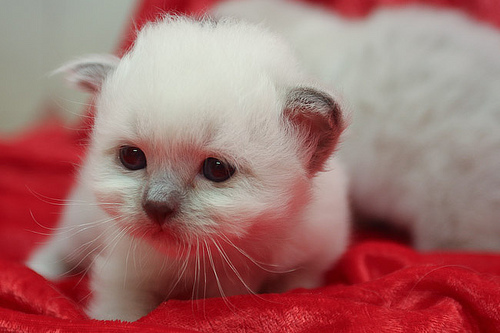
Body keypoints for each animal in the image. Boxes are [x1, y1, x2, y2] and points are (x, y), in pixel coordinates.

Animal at [26, 14, 348, 320]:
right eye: (132, 157)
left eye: (216, 169)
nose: (156, 206)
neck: (232, 252)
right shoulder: (125, 272)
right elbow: (119, 314)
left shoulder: (307, 263)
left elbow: (295, 286)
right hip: (81, 222)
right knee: (61, 246)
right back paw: (38, 272)